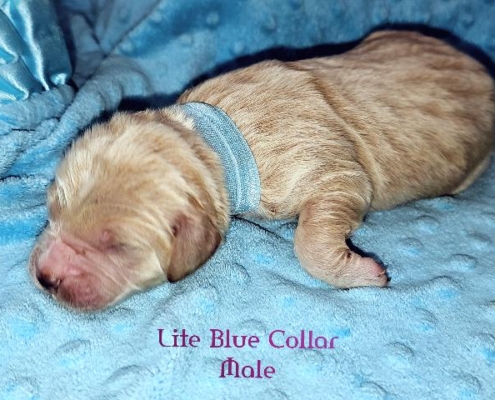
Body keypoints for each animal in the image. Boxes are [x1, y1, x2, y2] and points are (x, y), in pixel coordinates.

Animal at [29, 30, 495, 310]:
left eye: (118, 247)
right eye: (52, 211)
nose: (45, 277)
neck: (212, 139)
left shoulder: (330, 171)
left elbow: (310, 242)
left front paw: (363, 273)